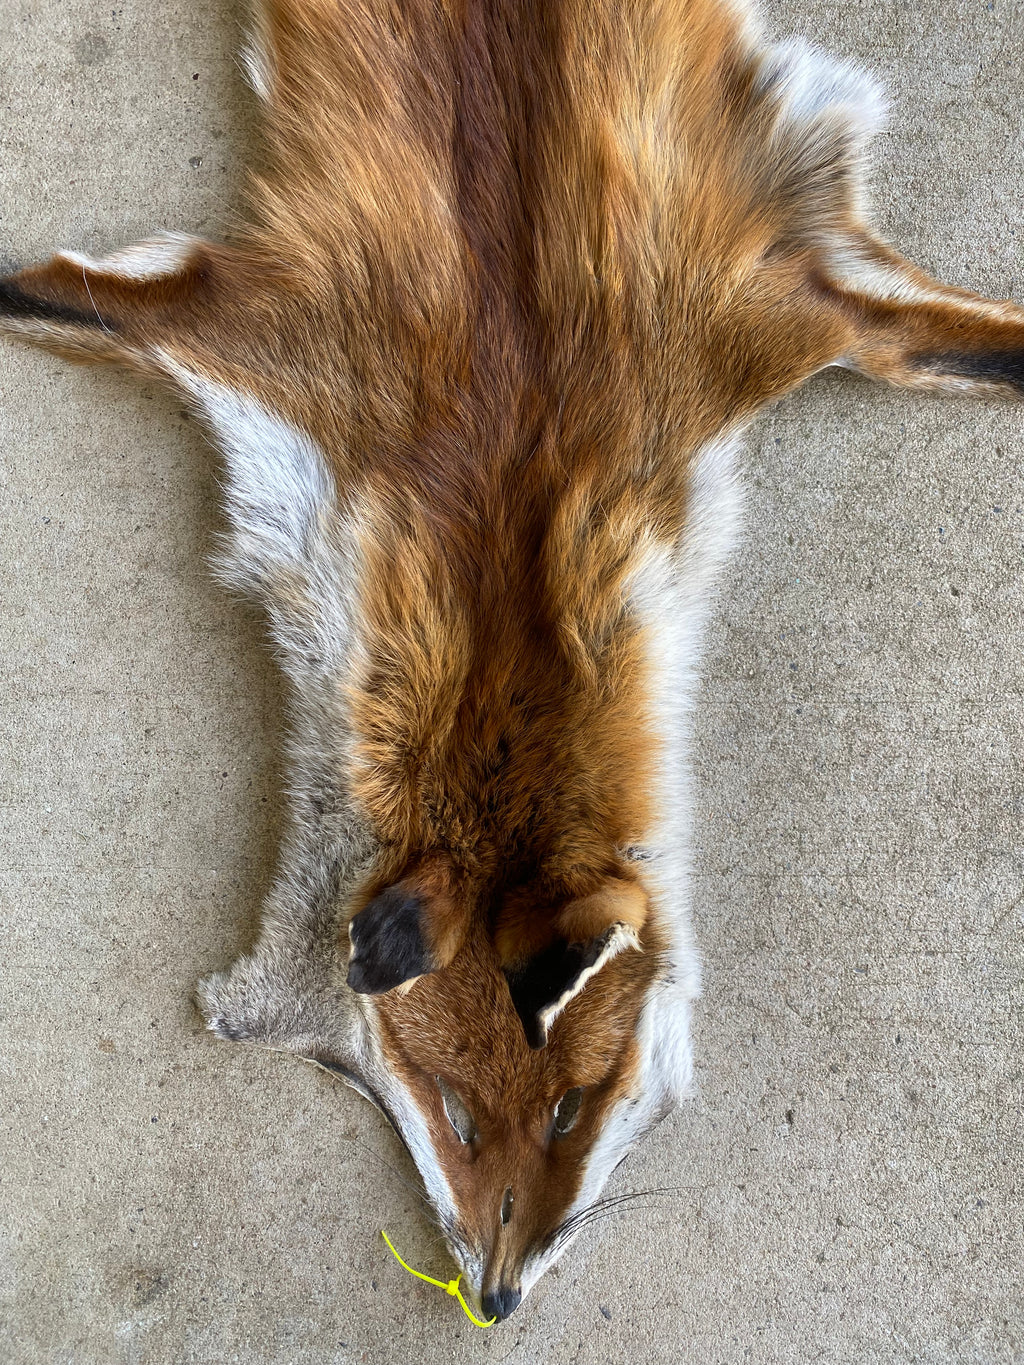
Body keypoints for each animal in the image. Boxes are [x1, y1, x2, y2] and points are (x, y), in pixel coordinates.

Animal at [2, 0, 1022, 1326]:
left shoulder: (752, 305)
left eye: (569, 1108)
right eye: (455, 1112)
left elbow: (965, 348)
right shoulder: (268, 349)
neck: (506, 495)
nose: (492, 1299)